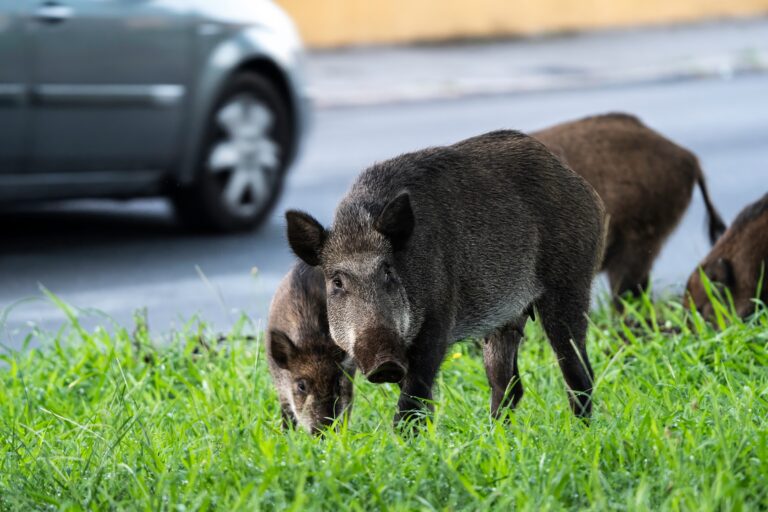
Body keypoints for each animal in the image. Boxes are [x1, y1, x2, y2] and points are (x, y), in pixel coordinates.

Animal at [266, 261, 356, 433]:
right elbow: (286, 415)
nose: (323, 431)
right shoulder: (280, 384)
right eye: (301, 386)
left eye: (336, 383)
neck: (311, 340)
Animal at [286, 130, 606, 424]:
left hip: (571, 283)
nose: (384, 363)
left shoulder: (438, 317)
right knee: (507, 384)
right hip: (505, 319)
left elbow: (412, 398)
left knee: (578, 372)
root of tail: (587, 191)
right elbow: (420, 402)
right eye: (337, 282)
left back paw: (580, 430)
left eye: (388, 271)